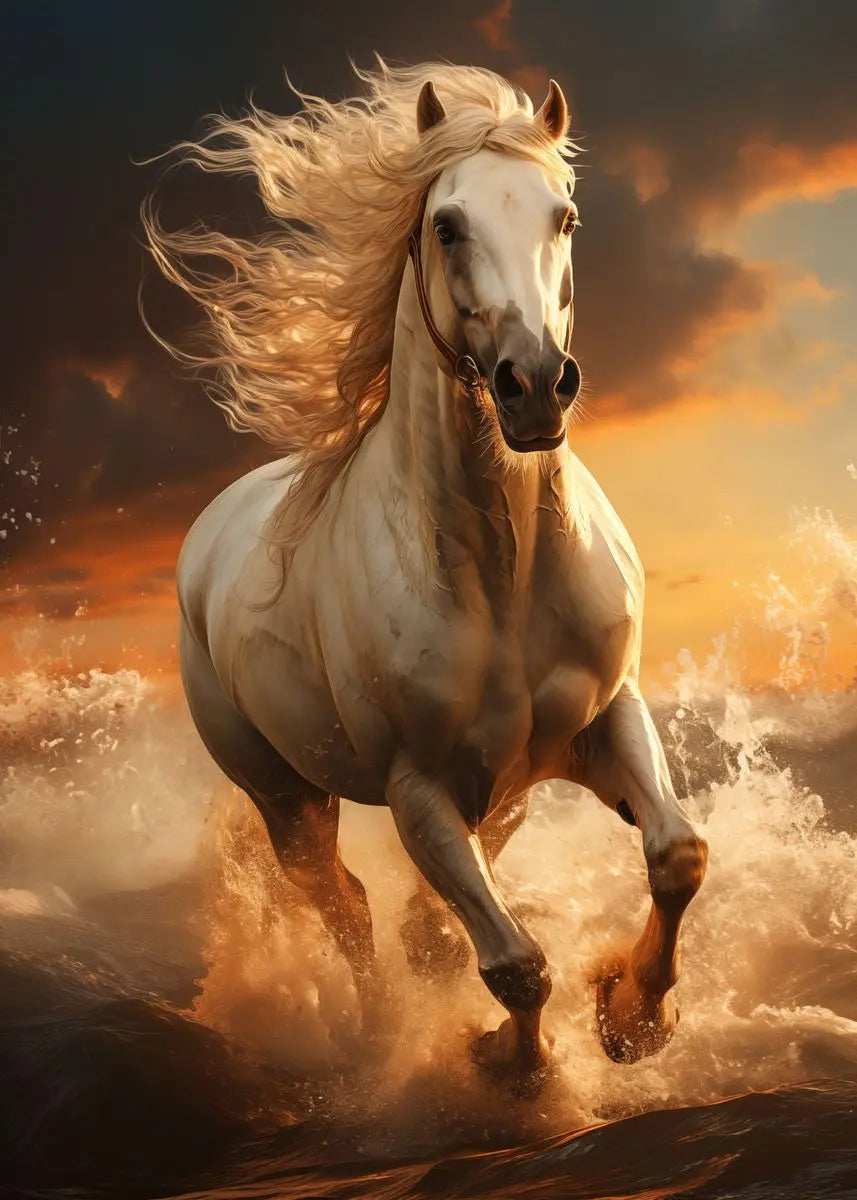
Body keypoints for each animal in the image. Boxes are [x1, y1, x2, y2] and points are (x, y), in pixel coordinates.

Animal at [146, 60, 708, 1090]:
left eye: (565, 216)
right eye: (447, 225)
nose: (536, 385)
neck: (505, 577)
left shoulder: (604, 718)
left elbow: (676, 854)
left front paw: (634, 1019)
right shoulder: (417, 792)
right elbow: (515, 964)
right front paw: (511, 1070)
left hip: (508, 787)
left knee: (412, 914)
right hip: (286, 799)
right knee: (343, 906)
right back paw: (371, 1036)